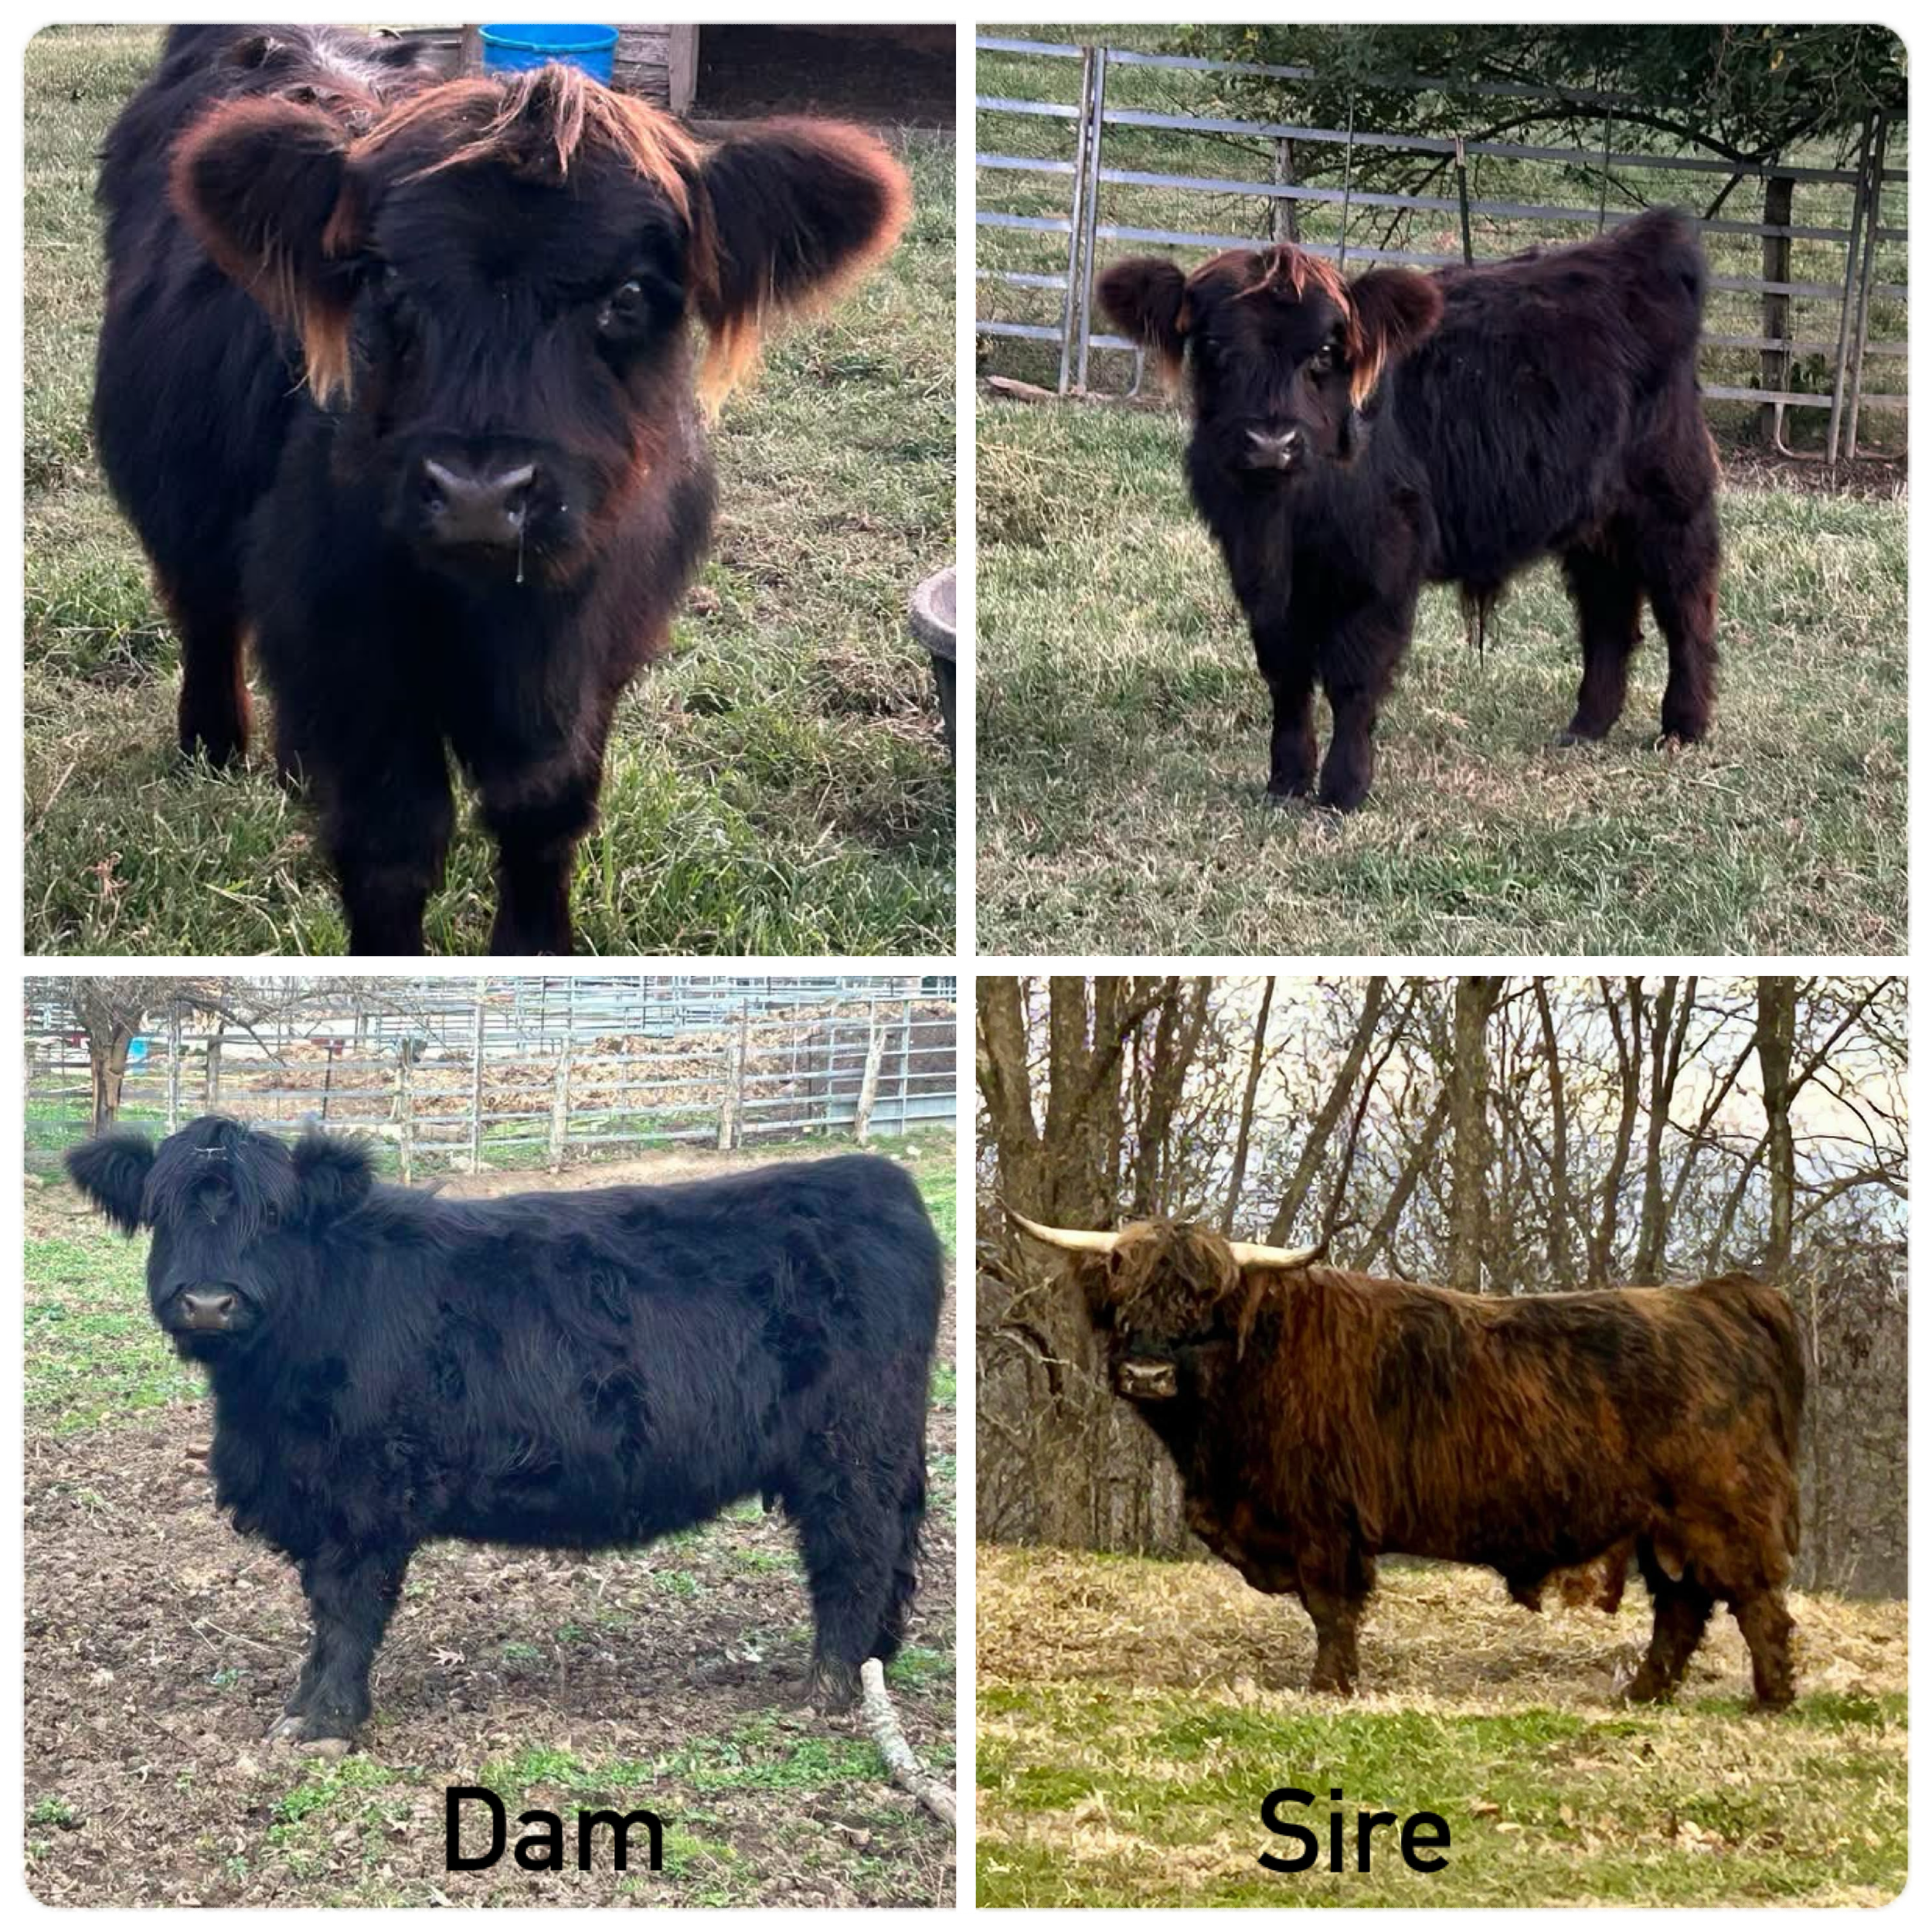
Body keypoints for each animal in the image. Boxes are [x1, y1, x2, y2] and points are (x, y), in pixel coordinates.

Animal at [66, 1115, 943, 1749]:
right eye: (161, 1212)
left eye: (274, 1214)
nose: (208, 1302)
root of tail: (874, 1178)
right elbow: (322, 1610)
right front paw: (302, 1706)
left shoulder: (366, 1495)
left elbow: (346, 1609)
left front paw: (325, 1723)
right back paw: (871, 1665)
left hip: (851, 1450)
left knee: (854, 1554)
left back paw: (828, 1687)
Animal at [92, 22, 910, 952]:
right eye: (386, 279)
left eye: (629, 294)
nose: (480, 492)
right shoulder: (345, 642)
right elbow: (390, 840)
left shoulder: (593, 646)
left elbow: (542, 810)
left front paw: (536, 944)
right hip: (176, 485)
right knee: (204, 608)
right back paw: (215, 742)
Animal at [1009, 1210, 1802, 1708]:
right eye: (1125, 1304)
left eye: (1201, 1309)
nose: (1147, 1374)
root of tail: (1719, 1298)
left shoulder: (1322, 1521)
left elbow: (1331, 1609)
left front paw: (1329, 1687)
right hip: (1663, 1525)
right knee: (1683, 1607)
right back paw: (1641, 1695)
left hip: (1720, 1510)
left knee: (1755, 1604)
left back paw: (1770, 1700)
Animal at [1095, 211, 1721, 811]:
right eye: (1212, 346)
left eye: (1326, 351)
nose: (1270, 443)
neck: (1288, 522)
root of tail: (1635, 244)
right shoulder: (1258, 574)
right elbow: (1286, 675)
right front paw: (1285, 781)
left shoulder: (1380, 568)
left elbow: (1353, 677)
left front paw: (1344, 789)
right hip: (1593, 521)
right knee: (1608, 611)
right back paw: (1587, 725)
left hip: (1669, 500)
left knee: (1686, 606)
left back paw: (1683, 726)